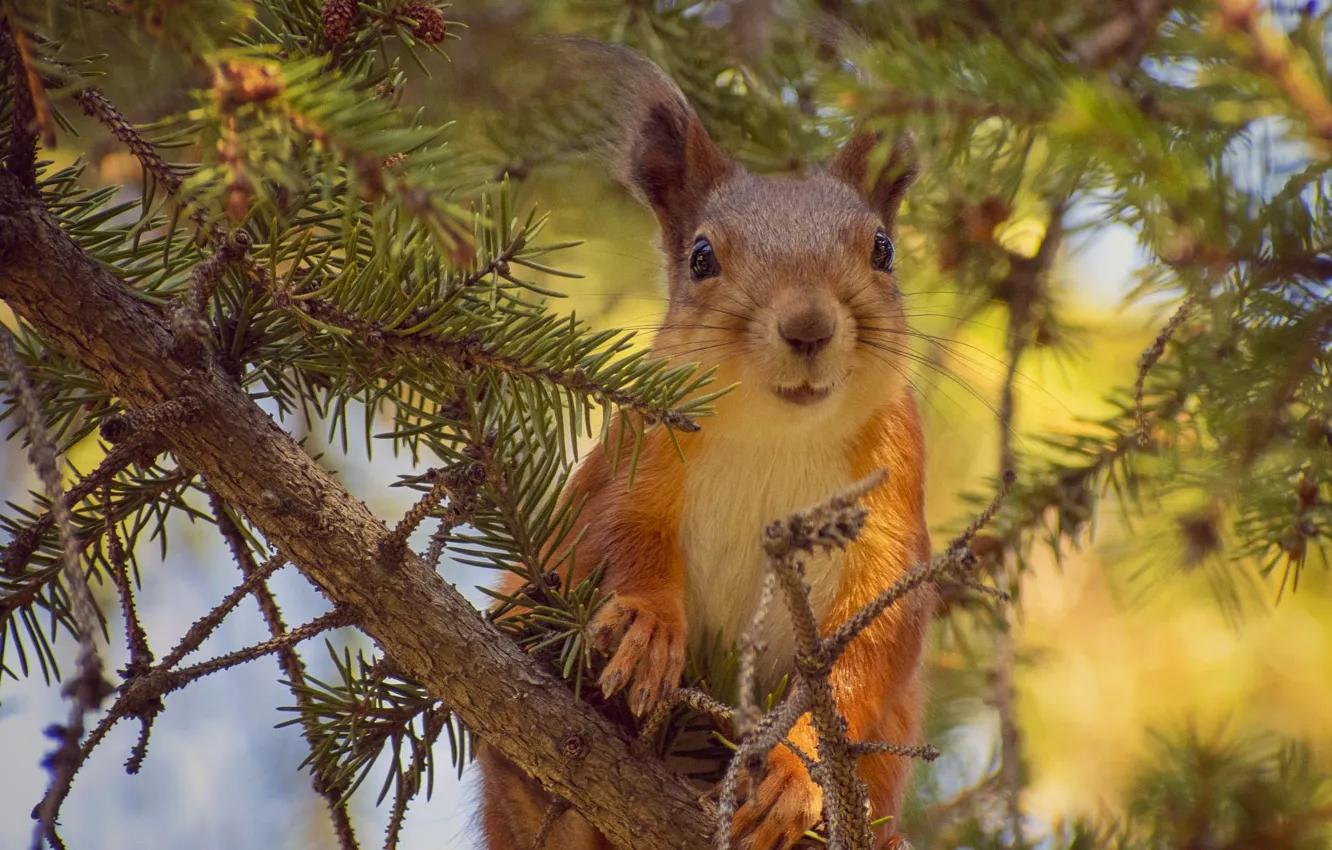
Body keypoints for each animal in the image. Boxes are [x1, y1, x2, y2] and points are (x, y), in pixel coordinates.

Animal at [482, 39, 937, 850]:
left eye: (883, 250)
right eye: (701, 258)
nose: (808, 326)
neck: (775, 432)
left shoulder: (894, 501)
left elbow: (865, 652)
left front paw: (795, 775)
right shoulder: (640, 440)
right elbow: (618, 528)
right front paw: (646, 624)